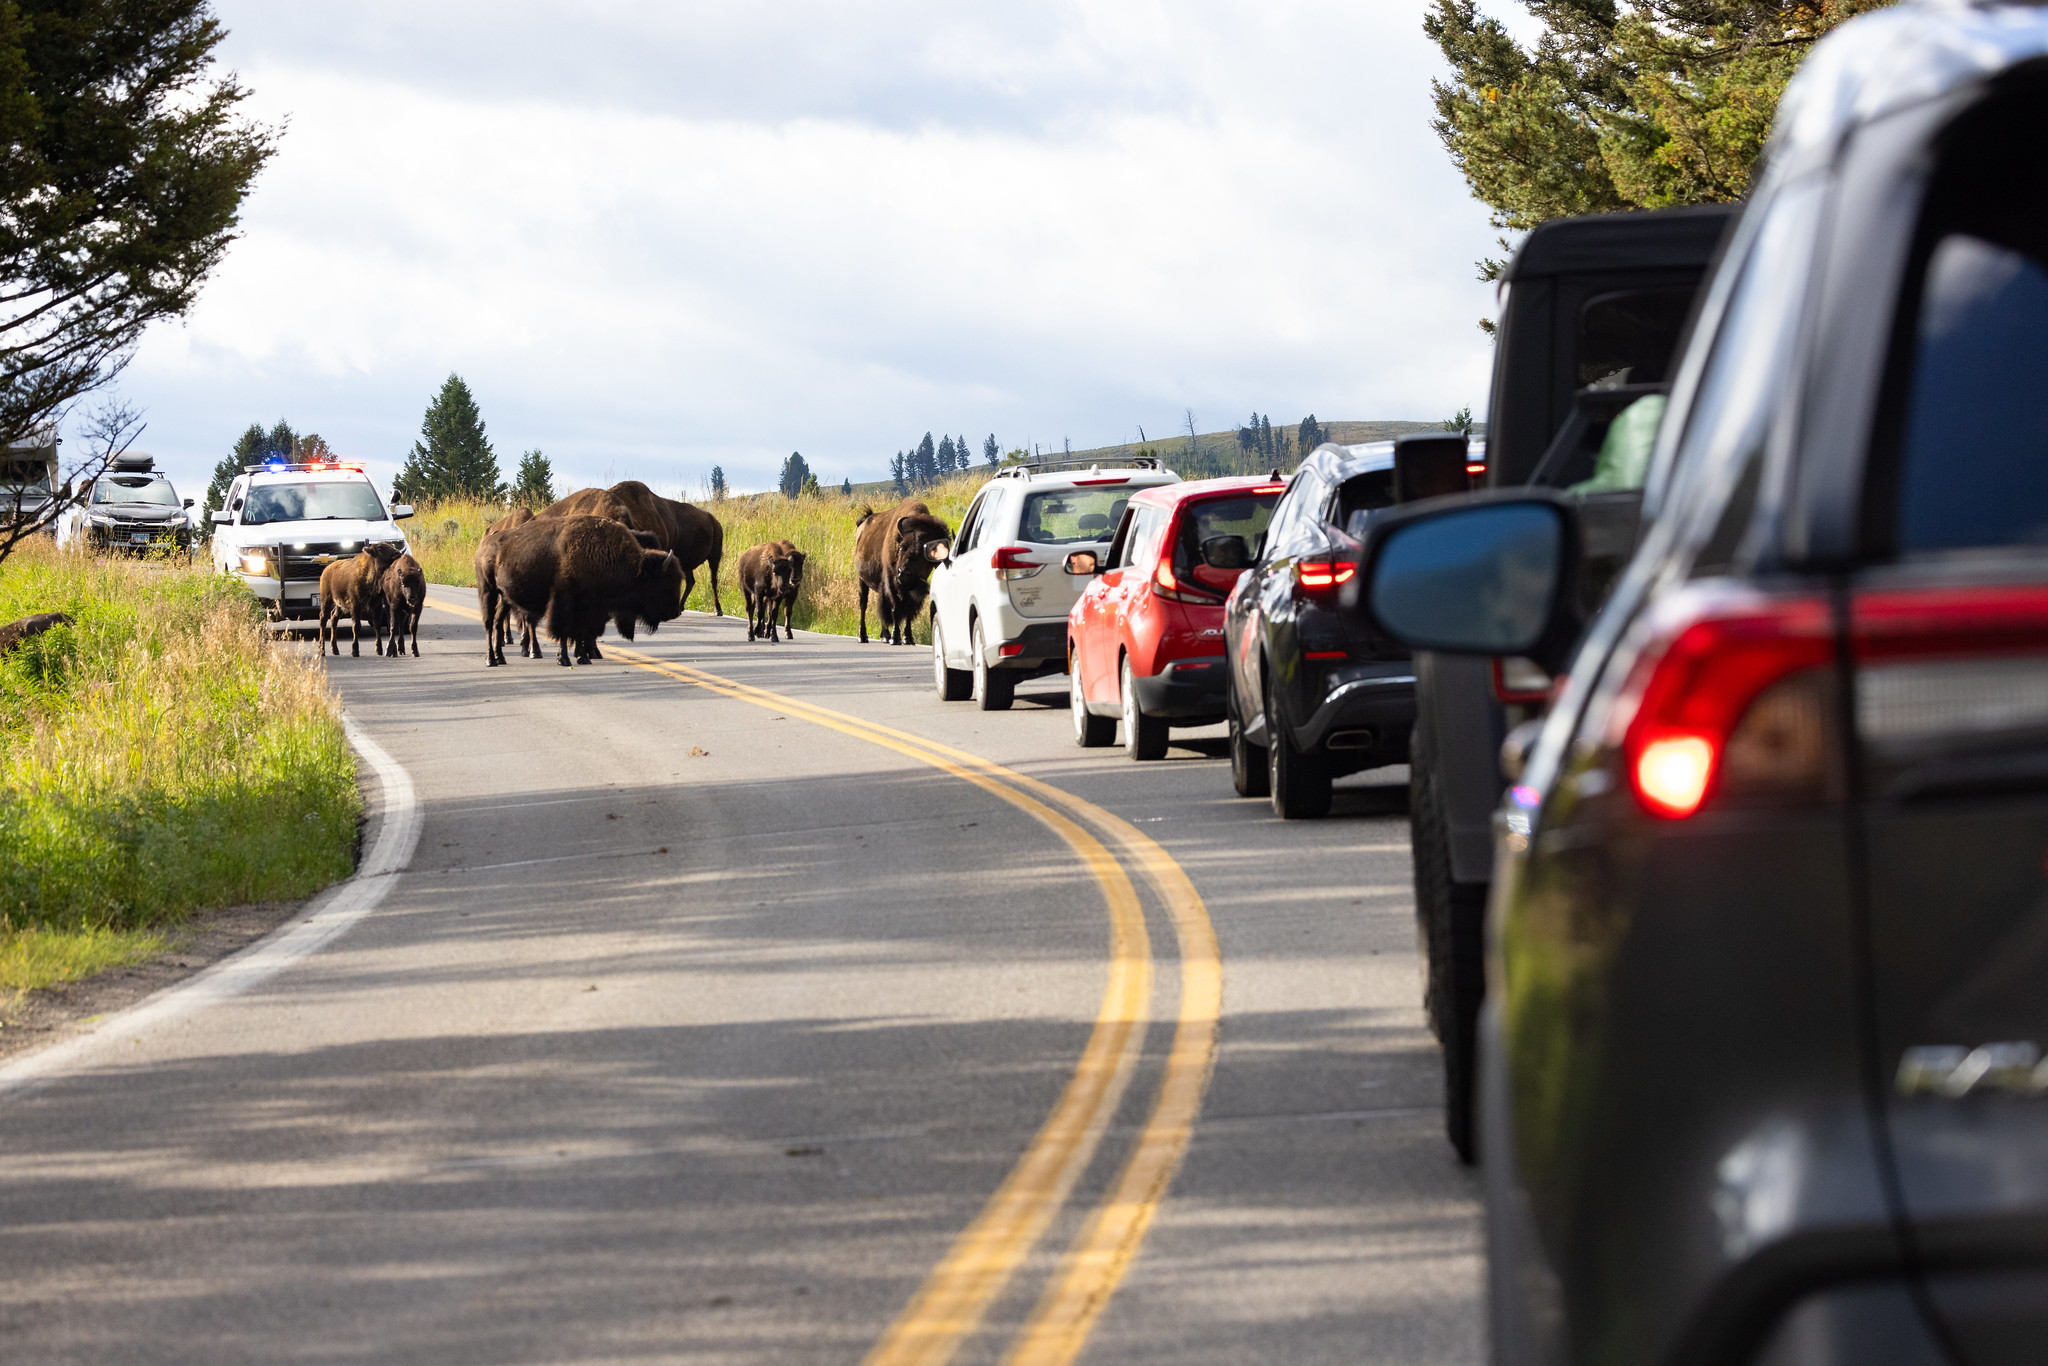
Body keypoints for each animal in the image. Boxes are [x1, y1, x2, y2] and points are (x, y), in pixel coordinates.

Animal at [475, 511, 684, 667]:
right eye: (665, 583)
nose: (674, 612)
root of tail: (484, 544)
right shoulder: (565, 601)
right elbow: (565, 630)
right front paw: (565, 659)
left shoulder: (589, 607)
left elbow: (581, 631)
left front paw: (583, 657)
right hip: (488, 590)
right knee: (489, 622)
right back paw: (491, 660)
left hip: (504, 597)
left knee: (497, 623)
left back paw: (501, 657)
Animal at [851, 501, 946, 647]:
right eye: (902, 547)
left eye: (923, 553)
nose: (903, 573)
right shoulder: (892, 582)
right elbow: (895, 608)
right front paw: (895, 638)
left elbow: (908, 611)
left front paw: (908, 638)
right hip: (862, 579)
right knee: (863, 604)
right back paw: (863, 636)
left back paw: (885, 636)